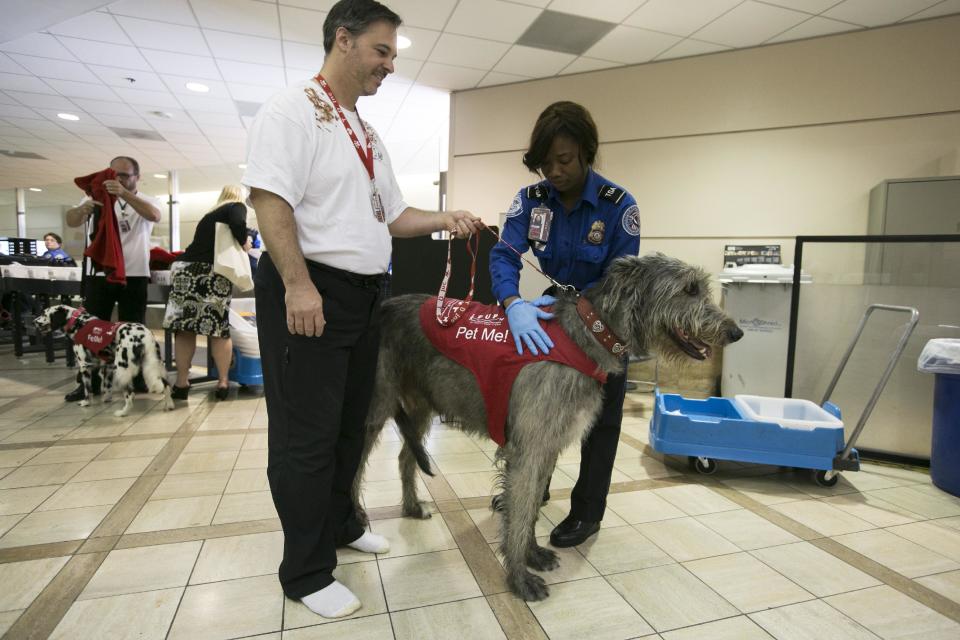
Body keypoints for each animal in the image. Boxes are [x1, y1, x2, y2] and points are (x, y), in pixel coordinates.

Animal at [35, 306, 175, 420]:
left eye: (43, 313)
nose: (33, 321)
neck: (78, 322)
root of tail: (145, 336)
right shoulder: (108, 366)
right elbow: (107, 387)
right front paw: (106, 399)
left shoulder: (85, 365)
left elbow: (87, 389)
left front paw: (86, 403)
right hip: (154, 366)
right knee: (166, 386)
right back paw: (169, 405)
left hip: (122, 370)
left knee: (130, 394)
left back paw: (123, 412)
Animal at [354, 251, 744, 600]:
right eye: (689, 289)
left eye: (701, 287)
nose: (736, 332)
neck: (585, 336)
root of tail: (386, 305)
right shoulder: (528, 449)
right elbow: (521, 510)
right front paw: (519, 578)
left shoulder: (548, 446)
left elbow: (529, 510)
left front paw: (532, 554)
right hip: (375, 407)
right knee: (354, 464)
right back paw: (357, 520)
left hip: (420, 404)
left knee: (405, 456)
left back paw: (411, 506)